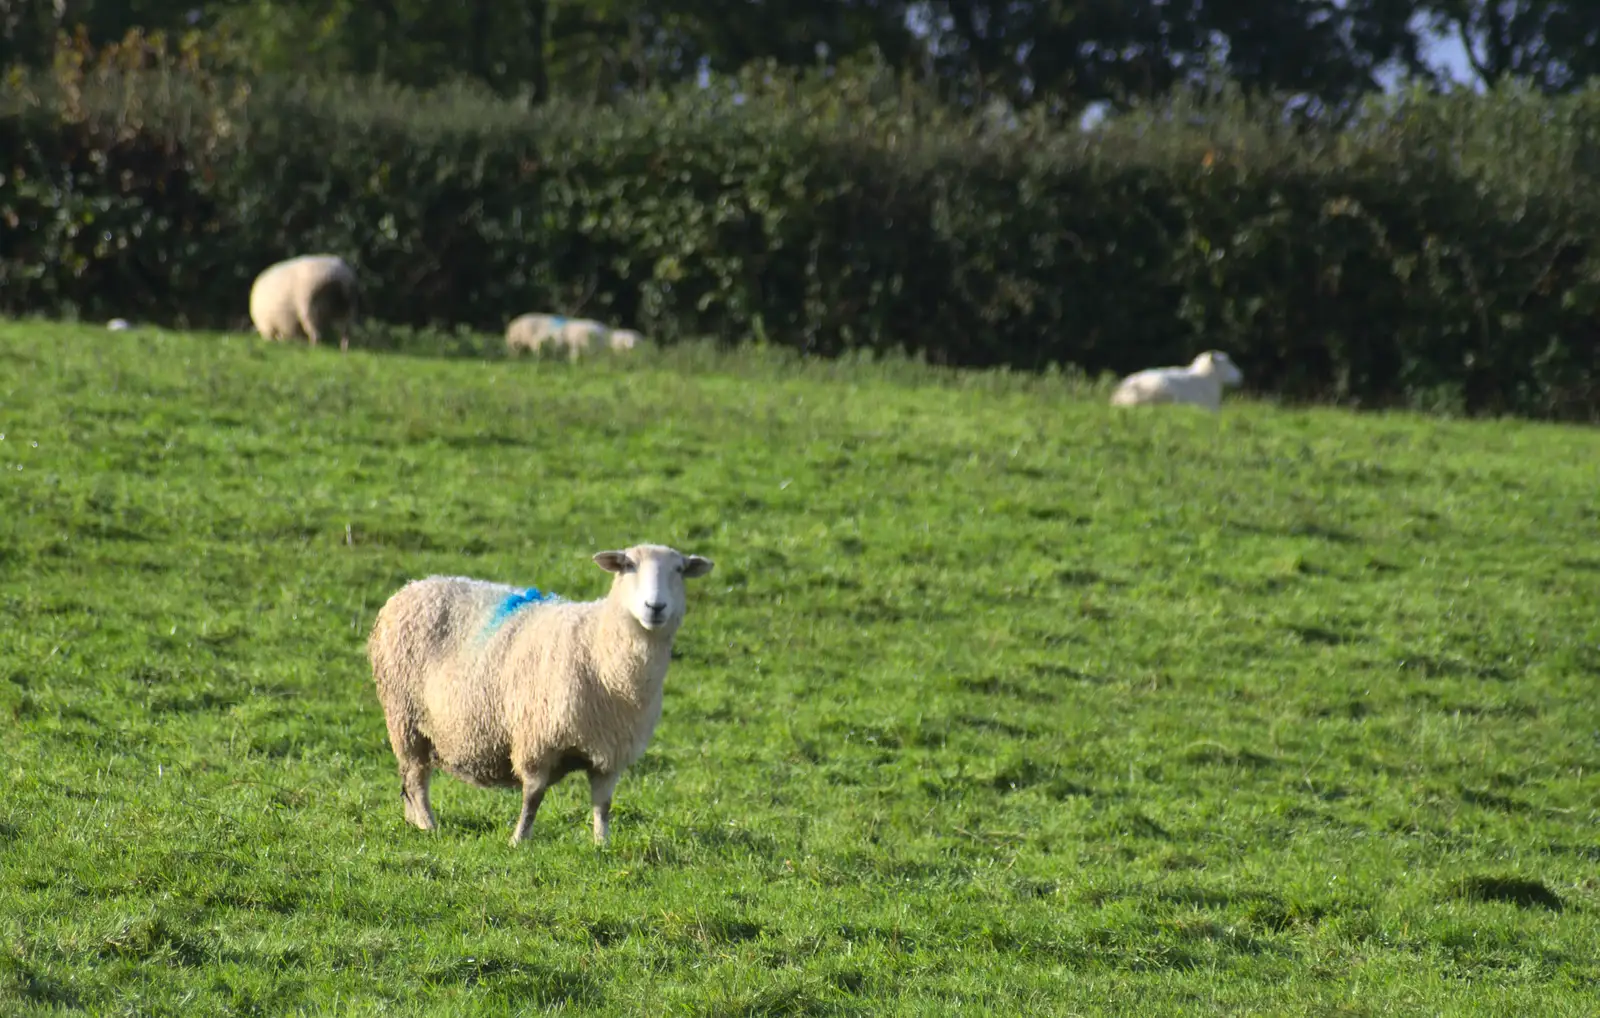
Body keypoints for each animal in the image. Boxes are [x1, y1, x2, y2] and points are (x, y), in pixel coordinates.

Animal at [366, 544, 716, 845]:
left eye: (679, 569)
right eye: (628, 566)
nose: (655, 607)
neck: (600, 650)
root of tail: (410, 588)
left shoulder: (610, 754)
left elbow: (603, 805)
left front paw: (602, 844)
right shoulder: (536, 739)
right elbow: (532, 798)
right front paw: (519, 840)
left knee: (409, 783)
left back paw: (414, 822)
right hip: (405, 718)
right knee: (415, 780)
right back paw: (429, 826)